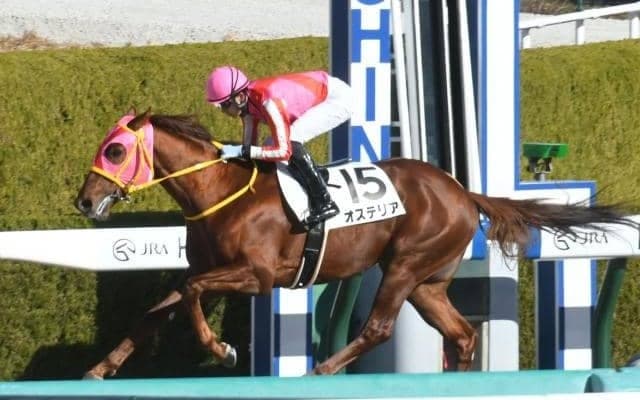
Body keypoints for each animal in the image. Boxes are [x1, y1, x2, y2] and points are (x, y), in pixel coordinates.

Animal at [75, 110, 636, 379]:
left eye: (116, 151)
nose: (84, 200)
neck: (221, 193)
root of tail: (461, 191)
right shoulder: (206, 268)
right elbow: (158, 309)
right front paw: (100, 368)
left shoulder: (258, 276)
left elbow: (191, 296)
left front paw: (223, 349)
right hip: (427, 283)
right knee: (460, 334)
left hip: (405, 265)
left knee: (380, 328)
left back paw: (323, 368)